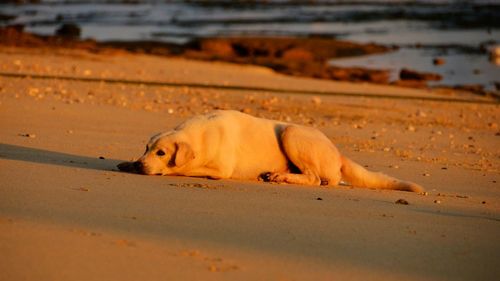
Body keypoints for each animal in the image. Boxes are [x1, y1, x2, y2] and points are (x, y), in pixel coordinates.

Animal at [119, 110, 424, 192]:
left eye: (161, 153)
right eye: (147, 148)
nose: (140, 165)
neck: (199, 135)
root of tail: (338, 152)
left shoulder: (220, 169)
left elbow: (183, 168)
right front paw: (128, 163)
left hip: (291, 133)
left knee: (317, 179)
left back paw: (281, 177)